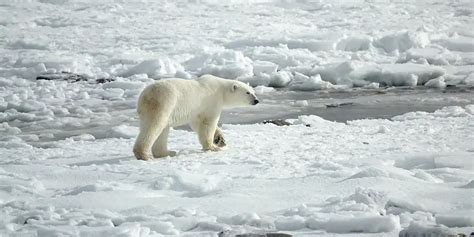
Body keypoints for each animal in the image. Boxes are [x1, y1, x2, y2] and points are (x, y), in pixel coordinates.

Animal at [132, 75, 260, 160]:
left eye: (253, 91)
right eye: (247, 92)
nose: (256, 100)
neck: (221, 90)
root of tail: (144, 96)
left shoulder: (197, 110)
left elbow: (197, 123)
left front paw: (220, 140)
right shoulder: (211, 101)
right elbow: (208, 123)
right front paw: (213, 147)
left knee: (162, 129)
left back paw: (168, 152)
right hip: (163, 103)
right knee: (154, 126)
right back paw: (144, 154)